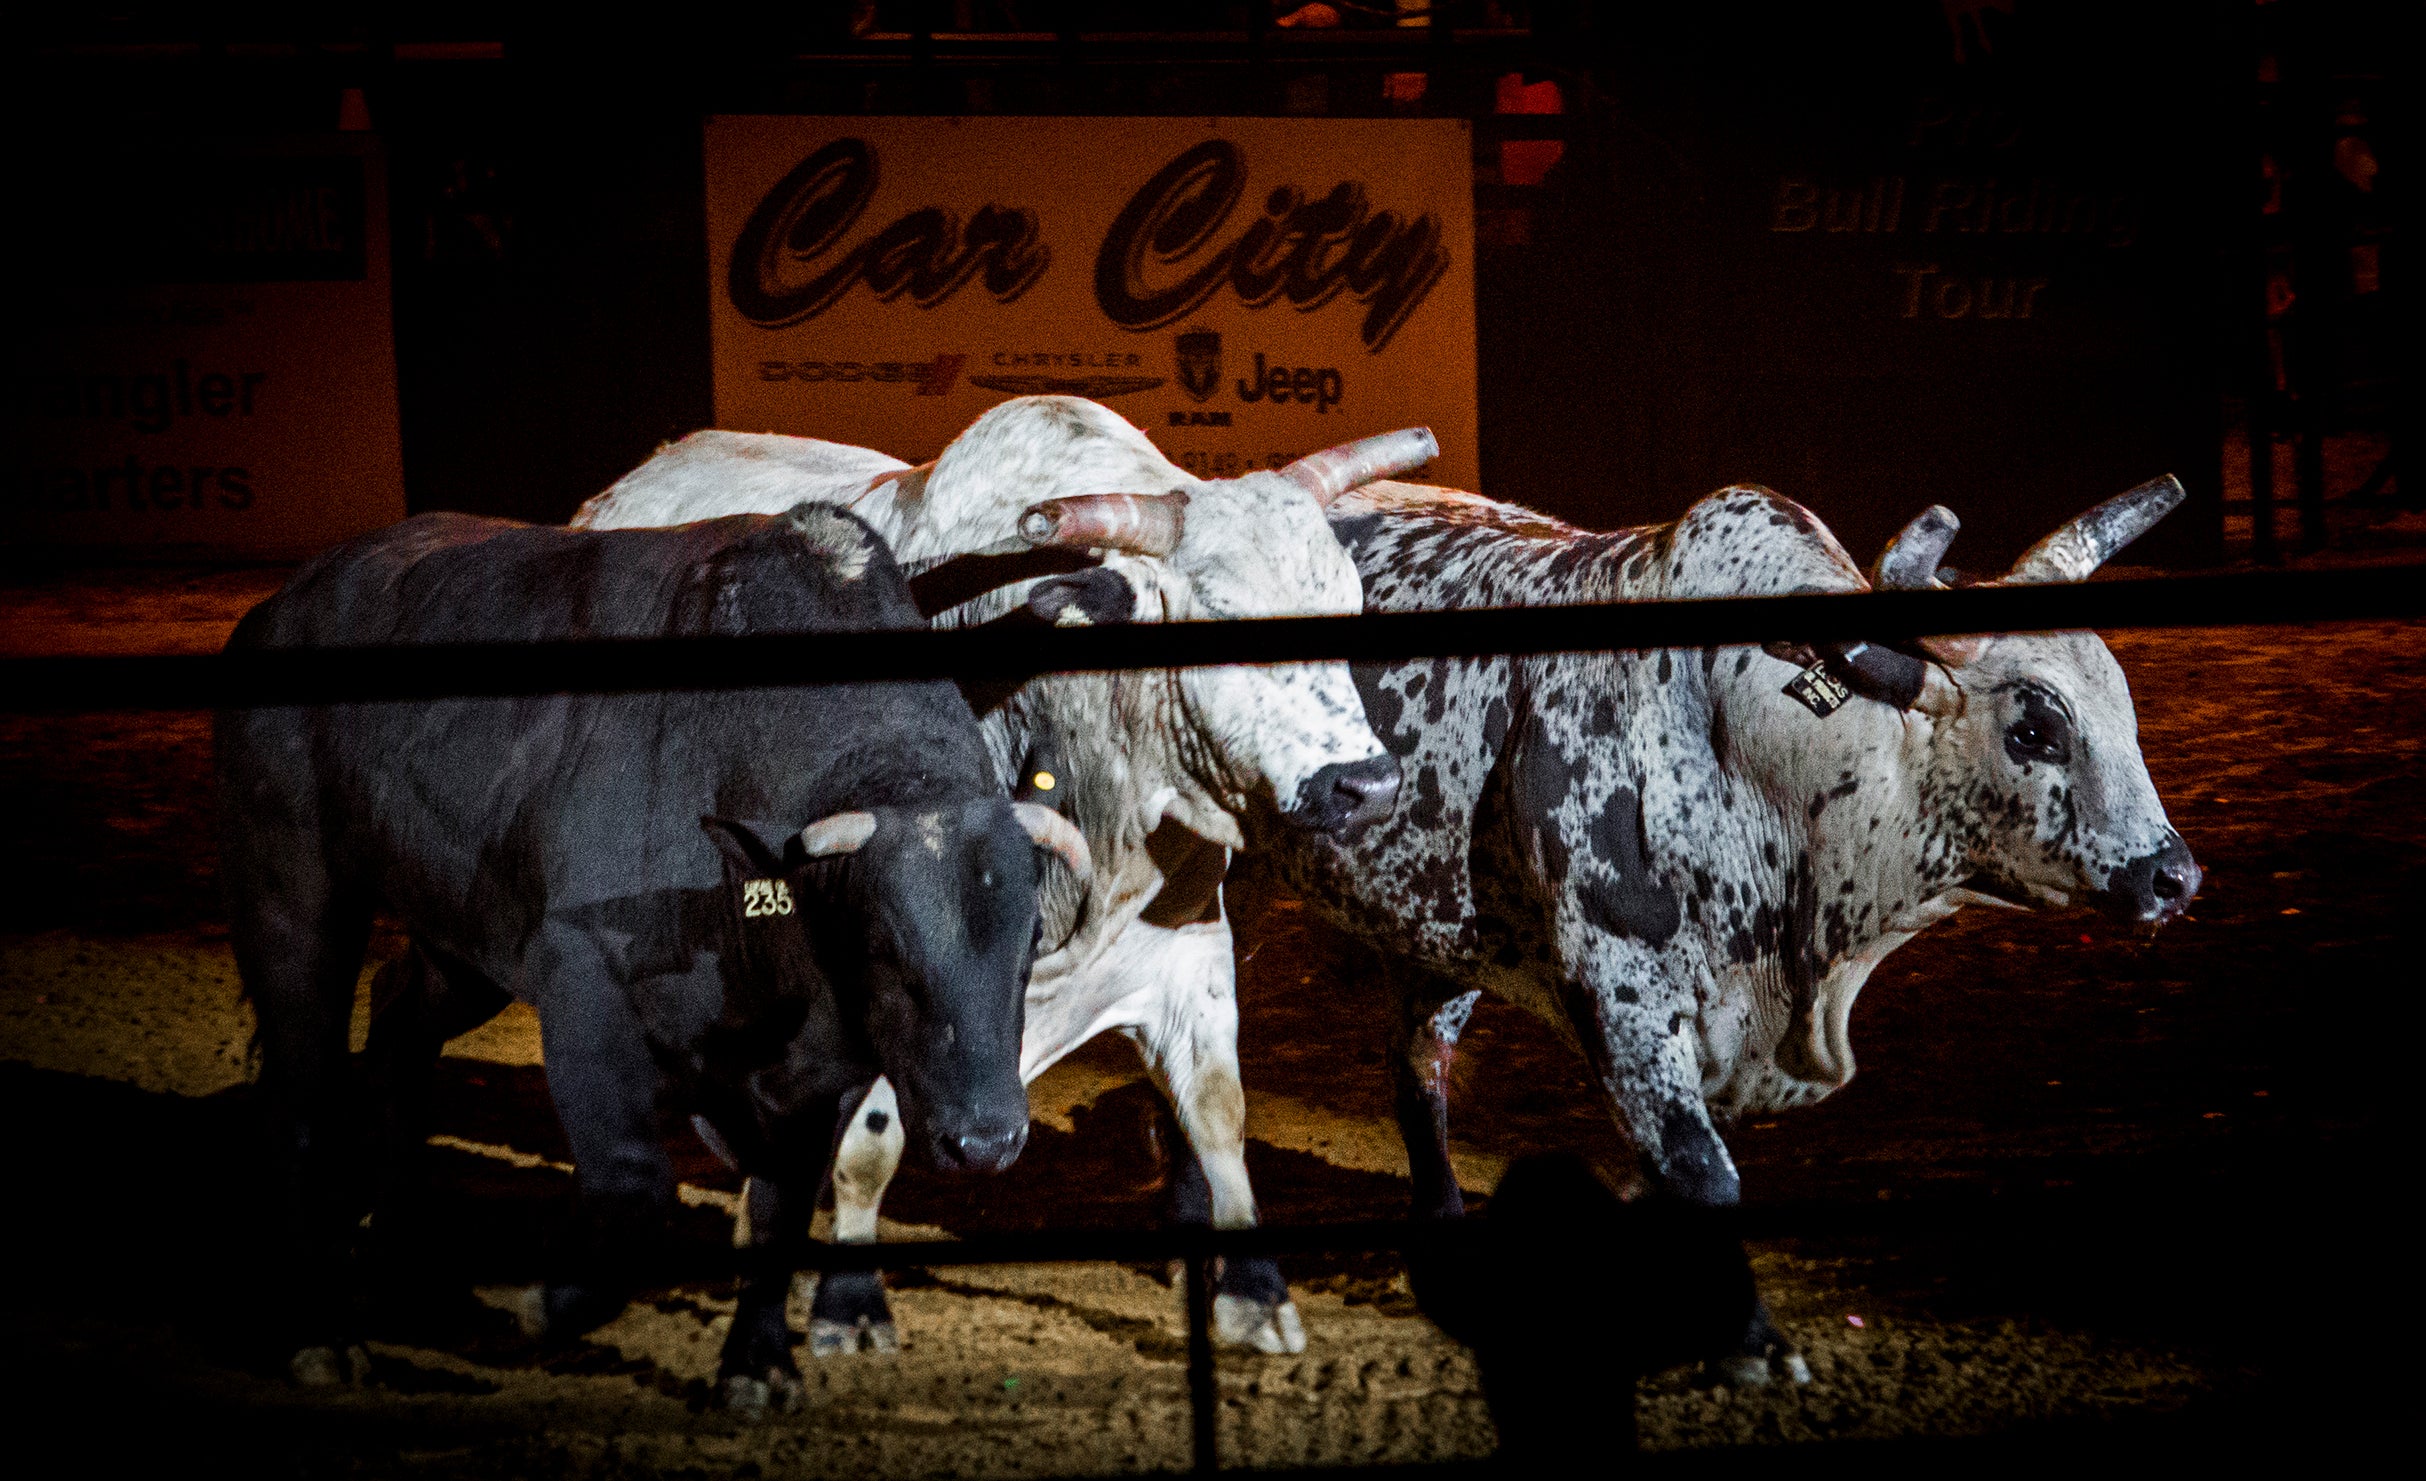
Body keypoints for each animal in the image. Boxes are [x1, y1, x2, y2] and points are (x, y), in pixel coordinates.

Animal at [577, 393, 1426, 1349]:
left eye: (1347, 602)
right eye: (1218, 612)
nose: (1365, 783)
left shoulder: (1188, 954)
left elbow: (1217, 1114)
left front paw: (1257, 1293)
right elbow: (871, 1143)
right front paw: (847, 1302)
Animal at [1261, 475, 2212, 1379]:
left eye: (2122, 706)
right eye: (2036, 727)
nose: (2172, 875)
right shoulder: (1618, 989)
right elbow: (1703, 1171)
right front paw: (1749, 1340)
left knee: (1420, 1064)